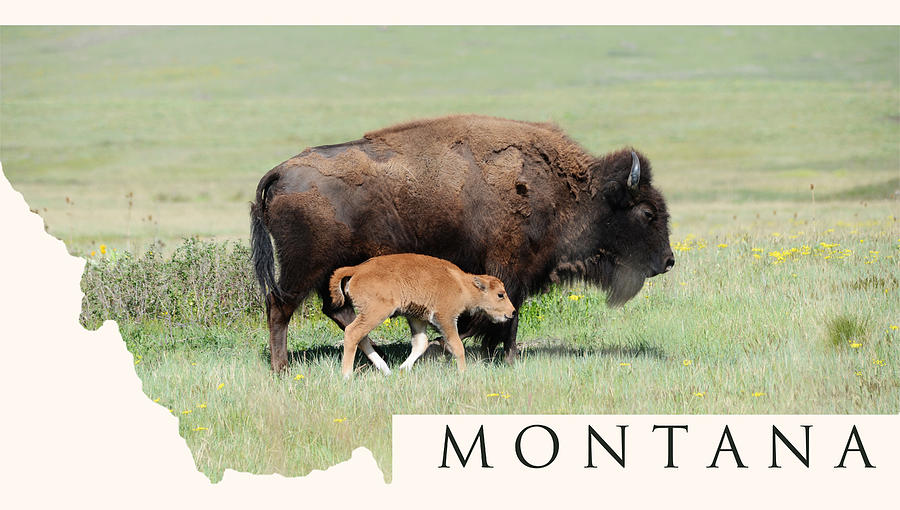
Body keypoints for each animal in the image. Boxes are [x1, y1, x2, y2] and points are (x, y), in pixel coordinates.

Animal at [328, 253, 512, 376]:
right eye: (500, 294)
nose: (511, 312)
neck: (462, 284)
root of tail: (358, 269)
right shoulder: (445, 319)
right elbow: (457, 346)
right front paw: (463, 373)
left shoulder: (417, 319)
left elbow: (420, 344)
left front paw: (403, 369)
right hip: (376, 312)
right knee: (353, 333)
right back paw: (347, 375)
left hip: (369, 315)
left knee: (361, 337)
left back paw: (386, 371)